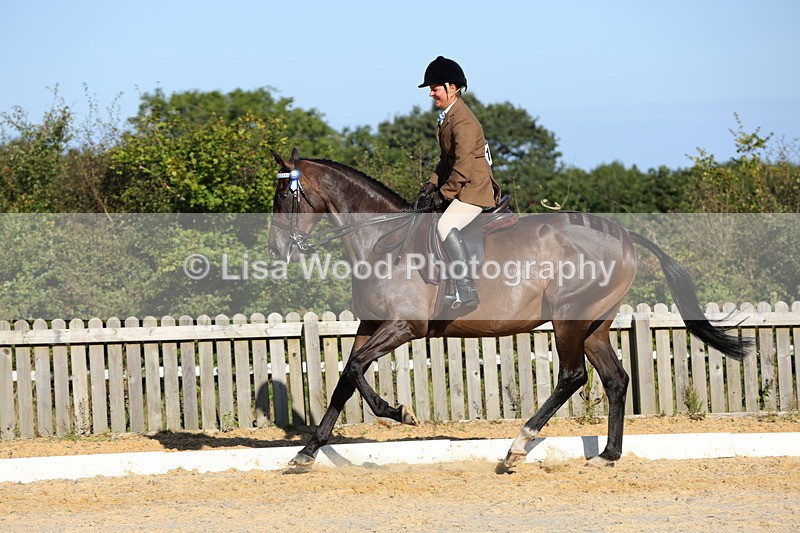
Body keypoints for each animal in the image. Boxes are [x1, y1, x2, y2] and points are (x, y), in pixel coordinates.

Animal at [268, 148, 749, 471]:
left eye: (284, 197)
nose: (276, 251)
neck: (382, 242)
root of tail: (625, 235)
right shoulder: (371, 324)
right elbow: (346, 378)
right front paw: (307, 451)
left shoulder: (405, 325)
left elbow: (354, 370)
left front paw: (397, 412)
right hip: (594, 324)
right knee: (615, 379)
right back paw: (608, 455)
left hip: (569, 318)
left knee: (573, 377)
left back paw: (518, 446)